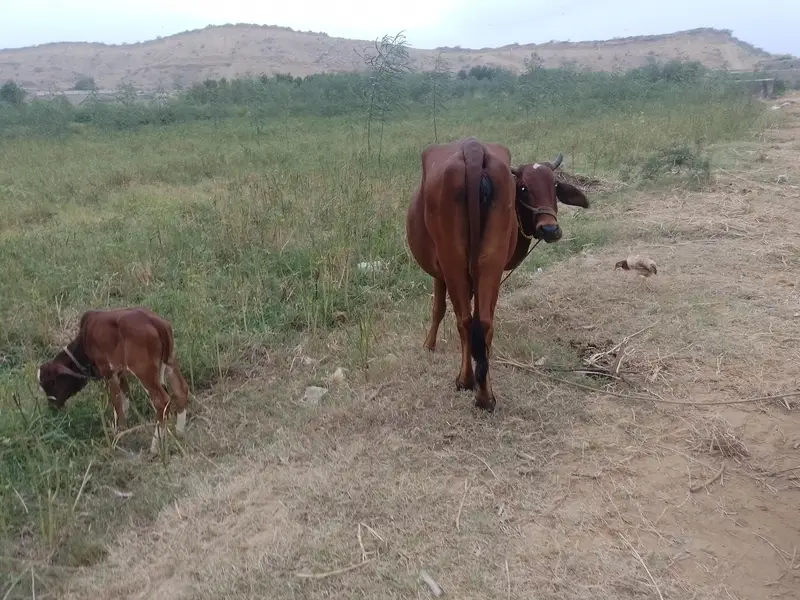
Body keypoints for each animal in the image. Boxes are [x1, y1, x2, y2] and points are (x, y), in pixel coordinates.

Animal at [36, 307, 190, 455]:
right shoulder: (120, 372)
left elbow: (116, 403)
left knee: (161, 401)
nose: (52, 407)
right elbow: (126, 397)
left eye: (51, 382)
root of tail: (157, 323)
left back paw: (155, 447)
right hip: (170, 361)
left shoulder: (108, 372)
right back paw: (180, 433)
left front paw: (118, 432)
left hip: (144, 371)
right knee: (181, 390)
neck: (85, 341)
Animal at [406, 137, 589, 411]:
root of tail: (472, 148)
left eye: (554, 185)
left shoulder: (440, 272)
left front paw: (428, 344)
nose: (550, 229)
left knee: (465, 321)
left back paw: (465, 381)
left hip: (454, 261)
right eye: (523, 188)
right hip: (490, 261)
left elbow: (438, 309)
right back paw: (485, 396)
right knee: (484, 324)